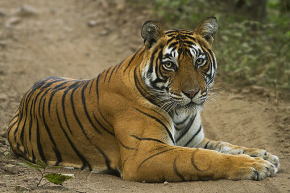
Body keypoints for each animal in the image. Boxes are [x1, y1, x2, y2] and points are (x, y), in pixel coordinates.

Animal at [6, 17, 278, 182]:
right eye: (170, 65)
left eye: (199, 61)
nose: (192, 93)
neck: (179, 114)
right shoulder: (145, 154)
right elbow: (202, 158)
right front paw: (256, 166)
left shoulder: (195, 140)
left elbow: (225, 145)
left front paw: (265, 155)